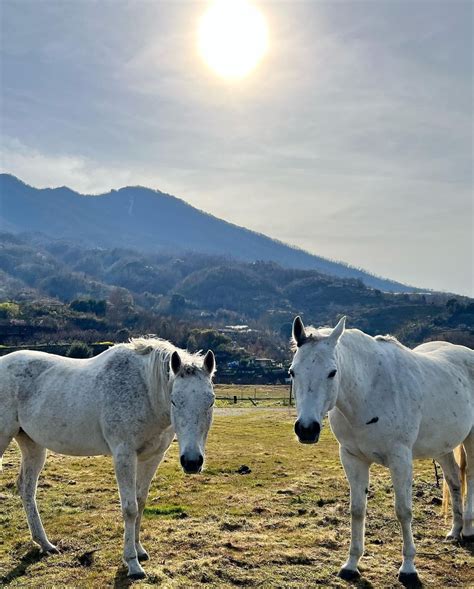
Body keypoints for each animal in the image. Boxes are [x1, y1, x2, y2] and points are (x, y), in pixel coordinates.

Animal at [0, 338, 215, 576]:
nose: (192, 462)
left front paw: (139, 549)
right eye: (174, 401)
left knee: (26, 488)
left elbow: (140, 502)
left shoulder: (152, 458)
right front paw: (132, 563)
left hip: (33, 445)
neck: (145, 391)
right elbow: (130, 508)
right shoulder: (124, 455)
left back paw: (45, 544)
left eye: (211, 401)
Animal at [290, 320, 472, 584]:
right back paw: (454, 531)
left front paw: (408, 568)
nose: (306, 429)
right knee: (455, 481)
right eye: (292, 372)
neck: (369, 392)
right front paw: (351, 565)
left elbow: (403, 511)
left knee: (470, 479)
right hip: (443, 446)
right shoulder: (352, 458)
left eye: (332, 372)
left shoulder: (400, 460)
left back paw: (467, 529)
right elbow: (357, 510)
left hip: (470, 438)